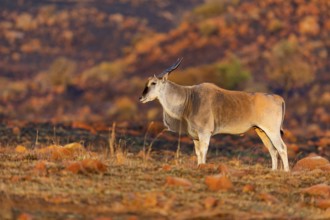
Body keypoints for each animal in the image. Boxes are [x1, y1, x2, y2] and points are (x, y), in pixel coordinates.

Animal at [139, 57, 288, 171]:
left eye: (153, 83)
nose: (141, 98)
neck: (190, 98)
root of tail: (278, 98)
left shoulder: (205, 133)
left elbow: (203, 151)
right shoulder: (195, 136)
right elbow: (198, 153)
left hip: (272, 131)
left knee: (282, 148)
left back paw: (286, 172)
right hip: (262, 131)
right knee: (273, 150)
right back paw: (274, 171)